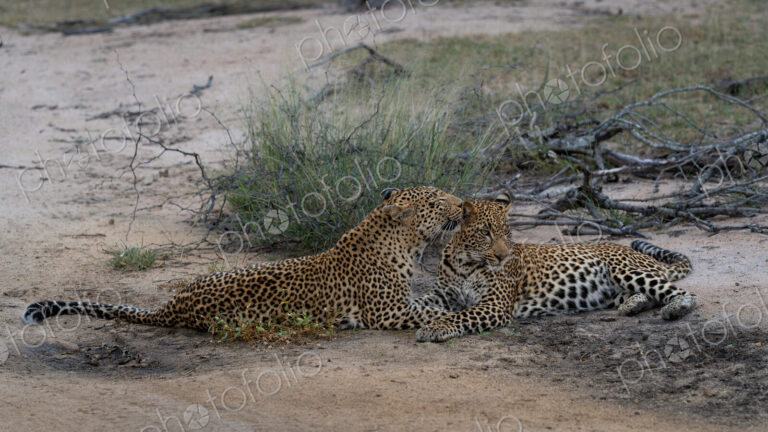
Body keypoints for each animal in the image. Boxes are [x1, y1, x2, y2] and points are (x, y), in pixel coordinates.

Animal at [23, 186, 463, 332]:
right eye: (437, 200)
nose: (464, 204)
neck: (407, 245)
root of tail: (175, 303)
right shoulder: (387, 313)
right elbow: (430, 312)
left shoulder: (404, 302)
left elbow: (433, 302)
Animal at [414, 195, 697, 342]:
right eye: (486, 233)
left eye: (507, 234)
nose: (503, 255)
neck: (464, 260)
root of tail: (644, 257)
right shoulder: (443, 294)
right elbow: (418, 302)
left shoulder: (495, 304)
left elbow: (460, 315)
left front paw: (433, 327)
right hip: (617, 289)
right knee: (648, 295)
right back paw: (632, 305)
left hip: (625, 269)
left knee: (684, 293)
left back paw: (675, 309)